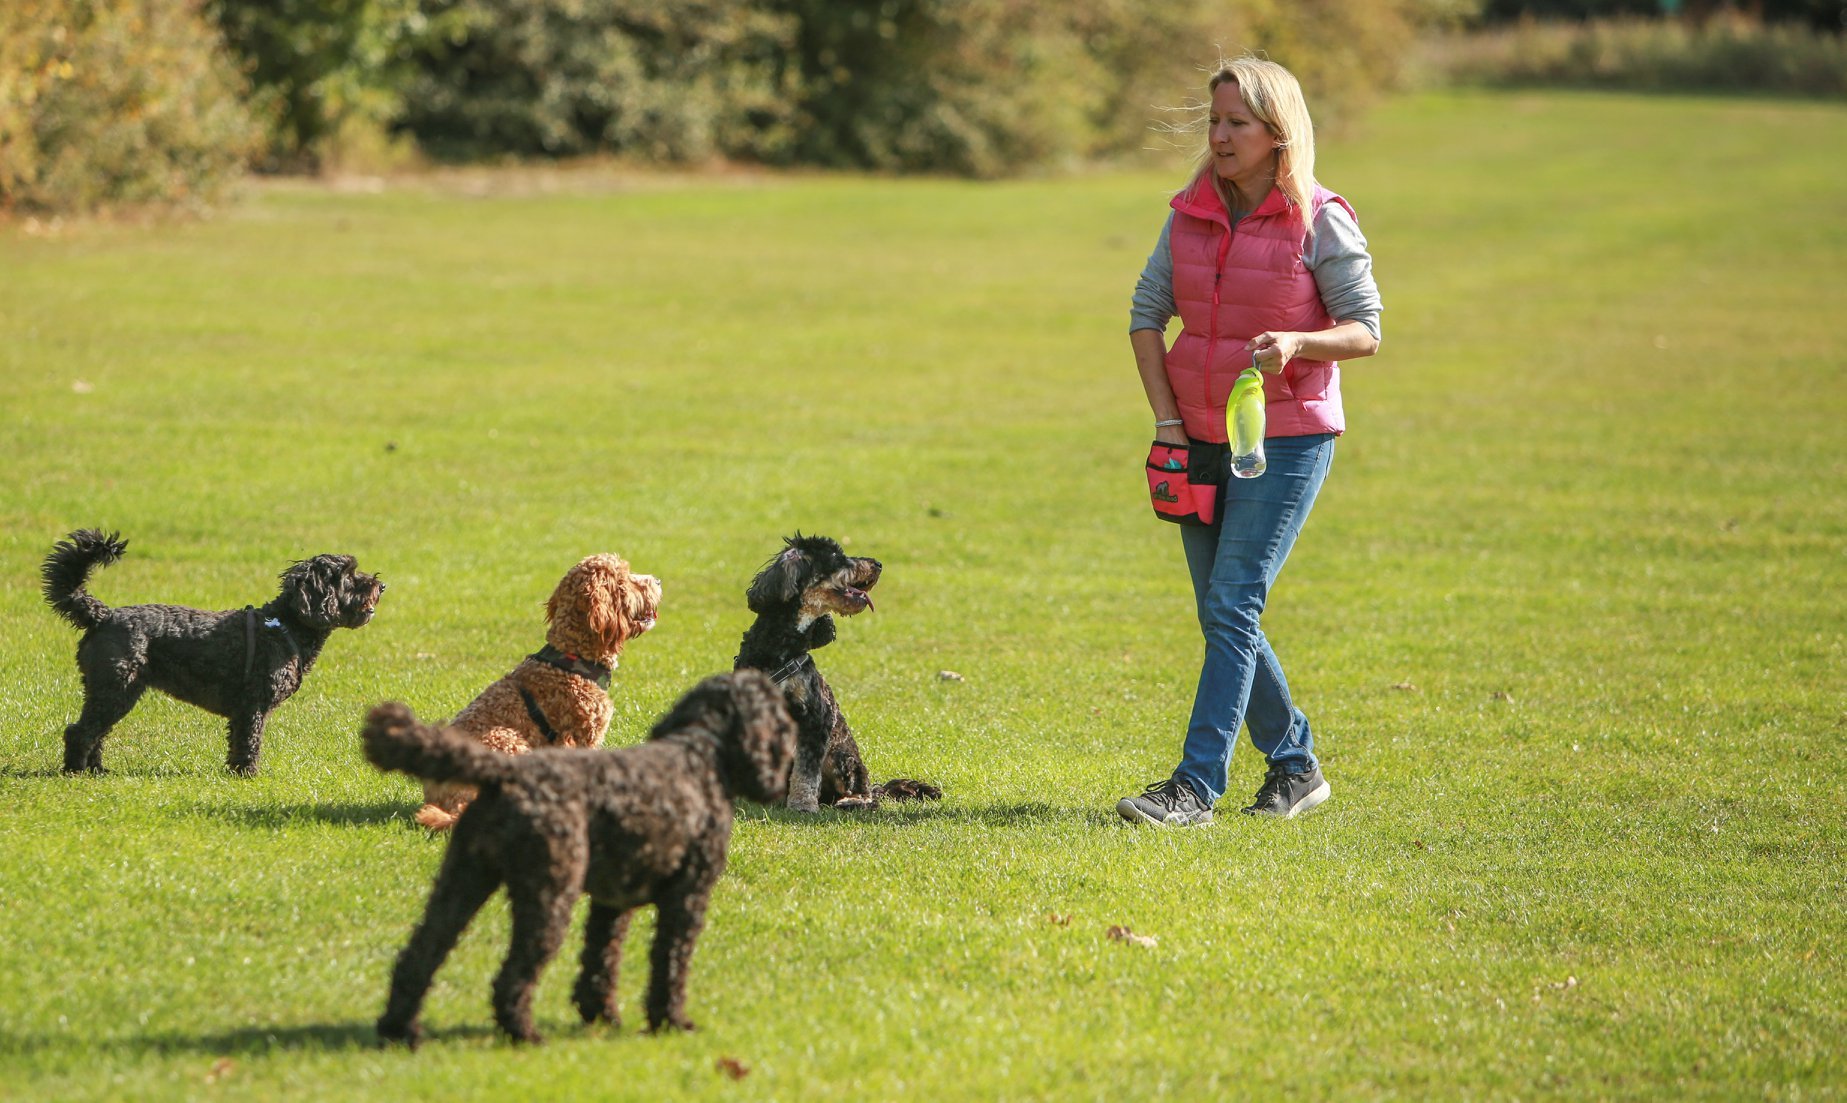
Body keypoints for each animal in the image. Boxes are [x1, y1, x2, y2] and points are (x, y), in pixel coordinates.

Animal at [39, 528, 382, 775]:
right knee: (80, 731)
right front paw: (248, 774)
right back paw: (75, 771)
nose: (382, 586)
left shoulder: (244, 709)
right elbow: (249, 741)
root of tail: (102, 614)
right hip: (115, 688)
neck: (285, 626)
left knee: (96, 732)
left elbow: (238, 742)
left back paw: (97, 769)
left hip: (110, 690)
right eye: (349, 576)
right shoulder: (253, 705)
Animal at [360, 672, 794, 1042]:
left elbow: (600, 961)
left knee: (419, 956)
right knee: (512, 975)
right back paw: (523, 1034)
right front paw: (671, 1022)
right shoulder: (686, 898)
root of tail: (505, 774)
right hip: (549, 894)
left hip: (461, 883)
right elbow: (669, 963)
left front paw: (601, 1015)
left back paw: (400, 1029)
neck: (698, 751)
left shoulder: (611, 903)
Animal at [735, 532, 938, 809]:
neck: (781, 650)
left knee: (863, 794)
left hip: (842, 757)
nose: (878, 564)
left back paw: (849, 801)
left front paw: (802, 804)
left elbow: (806, 772)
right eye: (836, 557)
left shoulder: (815, 719)